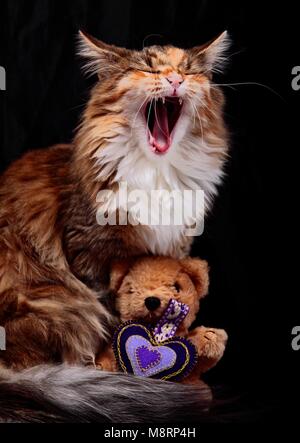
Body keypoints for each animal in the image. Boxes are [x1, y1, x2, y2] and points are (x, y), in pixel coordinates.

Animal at [0, 31, 230, 424]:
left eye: (187, 70)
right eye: (149, 69)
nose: (175, 79)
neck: (157, 173)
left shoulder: (175, 247)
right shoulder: (91, 255)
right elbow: (114, 318)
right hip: (58, 301)